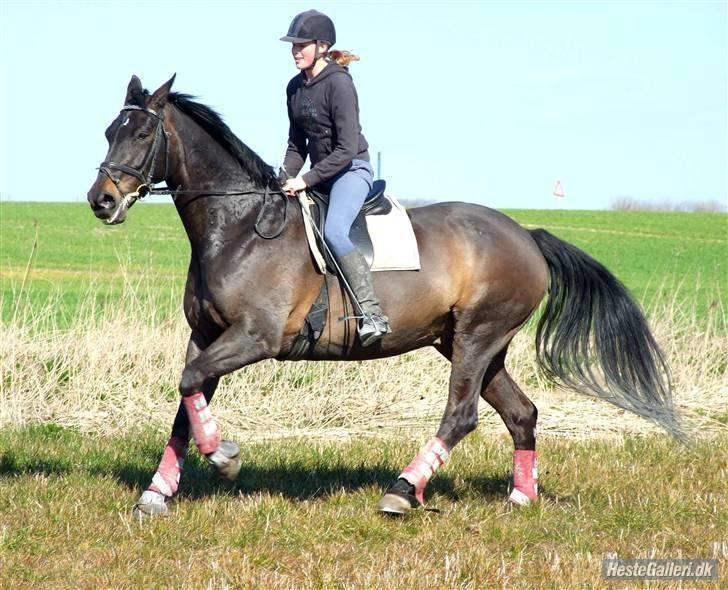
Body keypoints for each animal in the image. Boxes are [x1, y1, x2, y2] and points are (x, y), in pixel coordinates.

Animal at [85, 76, 684, 520]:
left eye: (142, 133)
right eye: (110, 131)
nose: (101, 200)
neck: (239, 226)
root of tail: (526, 236)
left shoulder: (255, 337)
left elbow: (189, 389)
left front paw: (225, 460)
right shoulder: (206, 335)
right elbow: (185, 404)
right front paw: (157, 493)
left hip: (478, 336)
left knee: (461, 414)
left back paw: (401, 491)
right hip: (470, 343)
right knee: (521, 412)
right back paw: (520, 498)